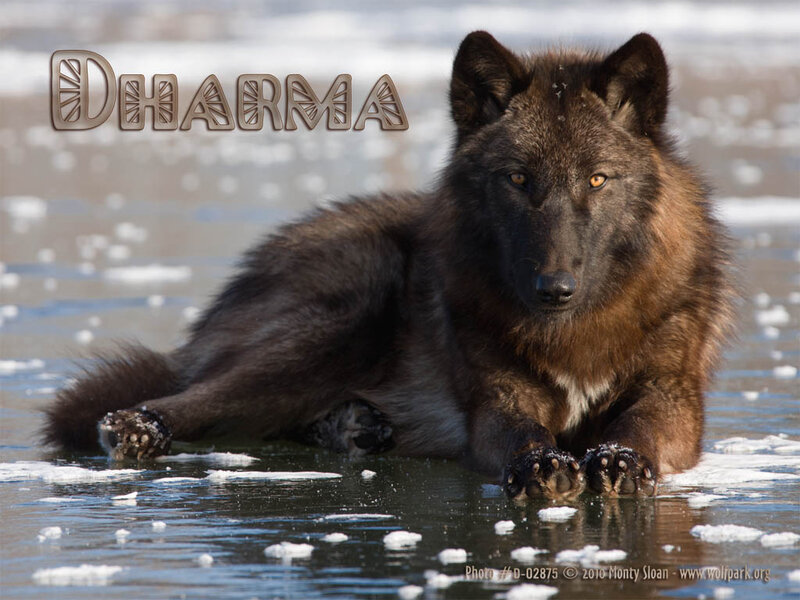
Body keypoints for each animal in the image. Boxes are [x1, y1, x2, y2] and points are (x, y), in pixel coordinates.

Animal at [44, 32, 733, 500]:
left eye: (597, 178)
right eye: (517, 179)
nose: (554, 287)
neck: (579, 330)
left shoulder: (675, 398)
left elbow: (640, 427)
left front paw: (617, 460)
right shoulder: (494, 400)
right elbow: (520, 434)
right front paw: (542, 465)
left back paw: (355, 427)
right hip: (354, 303)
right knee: (181, 397)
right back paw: (138, 428)